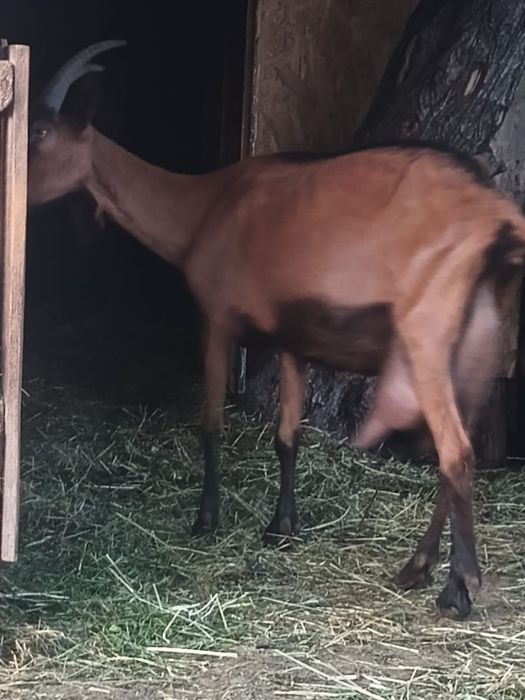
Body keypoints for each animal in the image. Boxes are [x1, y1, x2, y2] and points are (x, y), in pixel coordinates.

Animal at [27, 41, 525, 620]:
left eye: (41, 132)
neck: (206, 208)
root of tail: (496, 218)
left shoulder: (216, 318)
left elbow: (212, 423)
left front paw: (206, 519)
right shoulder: (293, 338)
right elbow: (287, 435)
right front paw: (282, 526)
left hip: (428, 335)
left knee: (456, 453)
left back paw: (455, 587)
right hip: (479, 343)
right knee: (456, 452)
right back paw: (415, 569)